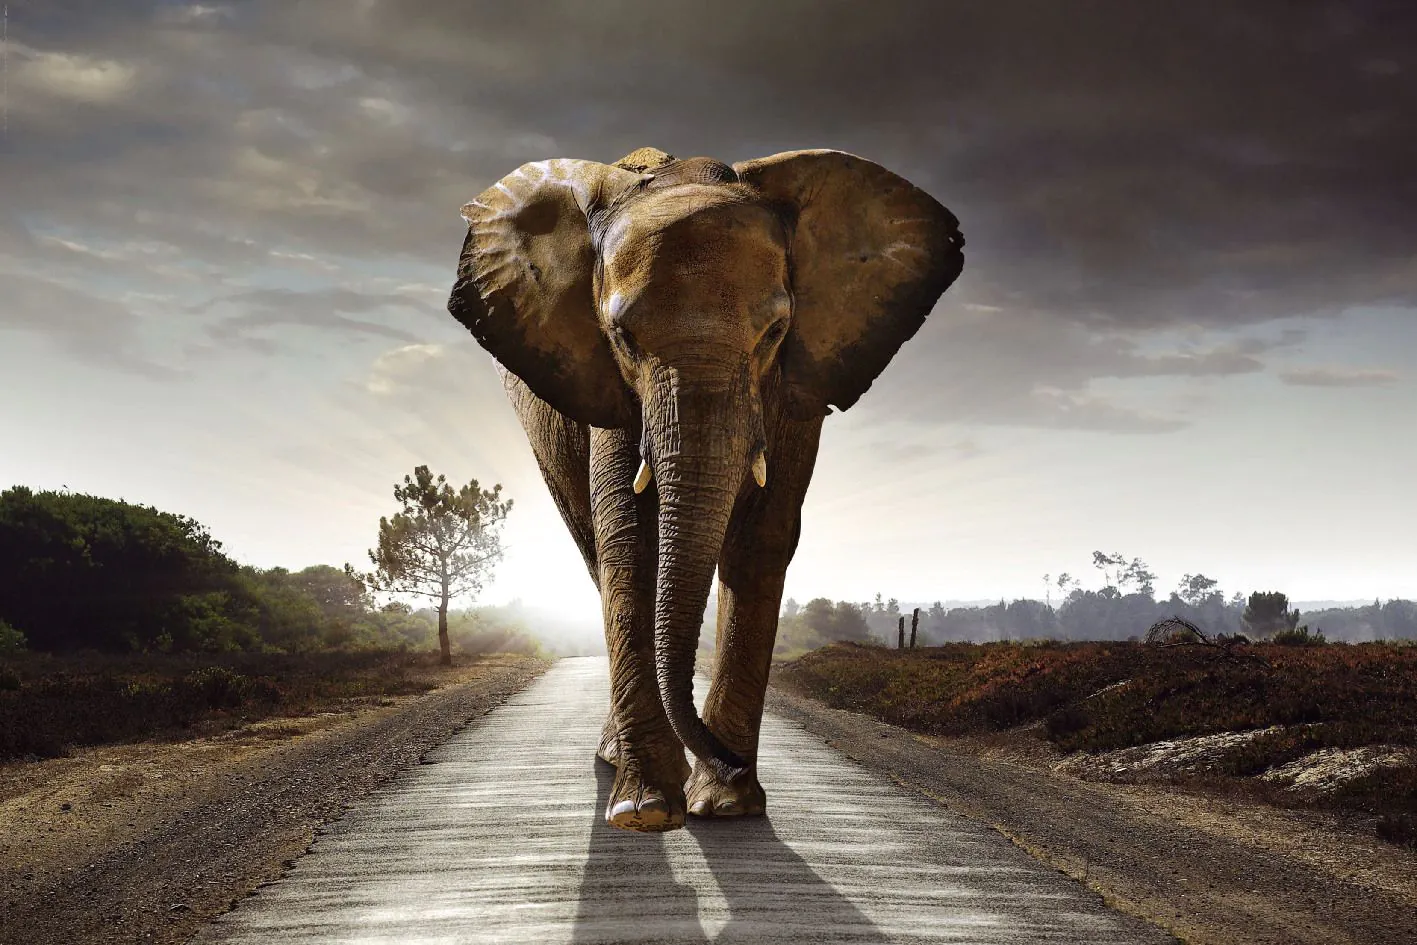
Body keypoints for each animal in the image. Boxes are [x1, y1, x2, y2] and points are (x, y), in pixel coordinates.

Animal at [447, 146, 964, 832]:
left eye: (775, 332)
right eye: (623, 337)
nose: (729, 761)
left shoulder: (796, 385)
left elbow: (762, 537)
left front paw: (726, 804)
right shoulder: (609, 387)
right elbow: (629, 539)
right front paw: (645, 810)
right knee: (593, 549)